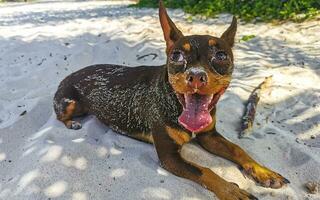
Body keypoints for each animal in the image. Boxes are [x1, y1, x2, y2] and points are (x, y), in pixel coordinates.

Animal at [53, 1, 290, 198]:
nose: (196, 76)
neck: (176, 104)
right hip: (69, 103)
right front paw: (232, 191)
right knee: (60, 116)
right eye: (176, 55)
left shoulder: (209, 136)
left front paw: (265, 172)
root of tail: (69, 75)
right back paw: (71, 123)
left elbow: (237, 149)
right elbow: (205, 170)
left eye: (221, 55)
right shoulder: (170, 157)